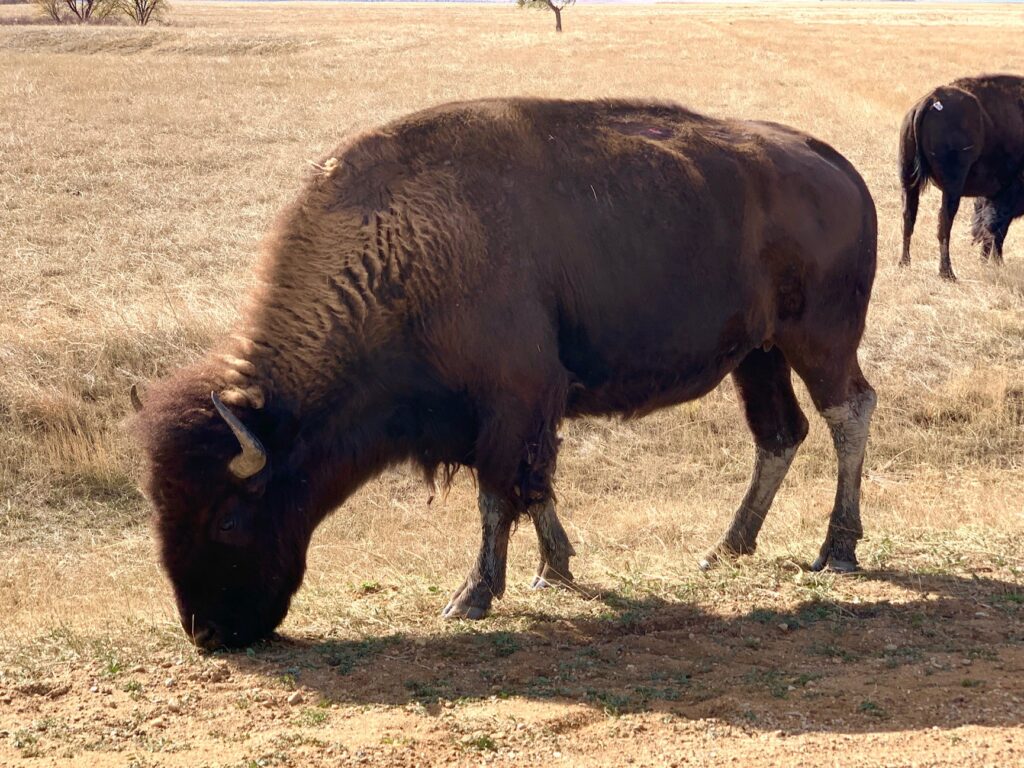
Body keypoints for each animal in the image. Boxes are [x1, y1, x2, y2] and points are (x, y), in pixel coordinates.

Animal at [132, 96, 876, 651]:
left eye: (229, 519)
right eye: (158, 508)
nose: (208, 634)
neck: (401, 249)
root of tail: (834, 164)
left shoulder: (512, 402)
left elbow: (497, 496)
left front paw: (472, 596)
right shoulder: (523, 413)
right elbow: (536, 487)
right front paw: (555, 570)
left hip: (819, 340)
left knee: (849, 412)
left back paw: (836, 550)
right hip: (759, 354)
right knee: (779, 434)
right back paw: (726, 547)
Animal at [897, 72, 1024, 280]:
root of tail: (931, 100)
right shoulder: (1006, 192)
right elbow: (996, 229)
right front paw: (997, 264)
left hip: (908, 180)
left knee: (908, 217)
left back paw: (904, 264)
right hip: (952, 187)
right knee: (944, 223)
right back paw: (947, 273)